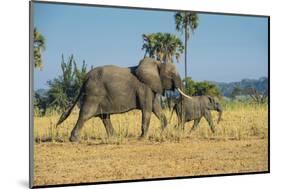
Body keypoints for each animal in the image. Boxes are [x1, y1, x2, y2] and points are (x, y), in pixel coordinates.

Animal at [56, 56, 190, 141]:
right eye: (171, 75)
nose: (176, 128)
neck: (157, 63)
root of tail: (85, 78)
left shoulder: (151, 86)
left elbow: (156, 108)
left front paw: (163, 131)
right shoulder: (144, 87)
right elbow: (147, 110)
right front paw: (142, 138)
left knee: (104, 116)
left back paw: (113, 137)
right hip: (94, 93)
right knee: (86, 113)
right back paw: (74, 139)